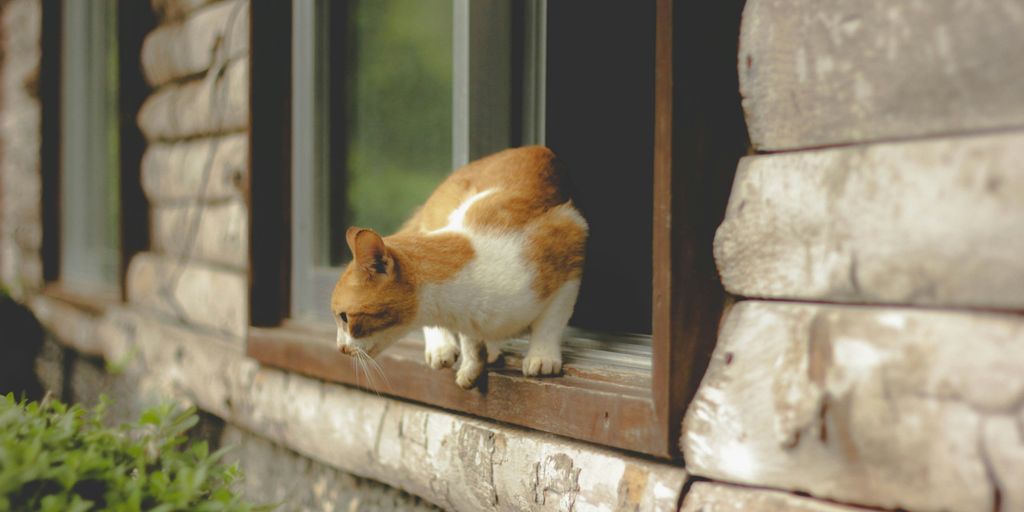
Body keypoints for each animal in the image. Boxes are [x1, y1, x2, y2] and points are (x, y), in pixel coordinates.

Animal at [327, 146, 585, 389]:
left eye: (344, 317)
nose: (340, 348)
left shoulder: (572, 236)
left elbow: (551, 322)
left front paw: (542, 356)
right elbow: (469, 339)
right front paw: (472, 364)